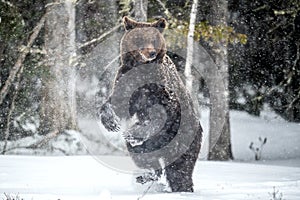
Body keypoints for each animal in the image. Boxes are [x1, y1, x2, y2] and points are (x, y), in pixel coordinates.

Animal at [99, 17, 203, 192]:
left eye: (154, 39)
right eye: (140, 38)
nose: (151, 53)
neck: (141, 67)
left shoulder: (161, 90)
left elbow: (161, 113)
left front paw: (133, 132)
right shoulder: (126, 81)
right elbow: (116, 104)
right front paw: (111, 123)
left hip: (185, 138)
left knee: (180, 169)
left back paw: (182, 187)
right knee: (143, 155)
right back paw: (145, 175)